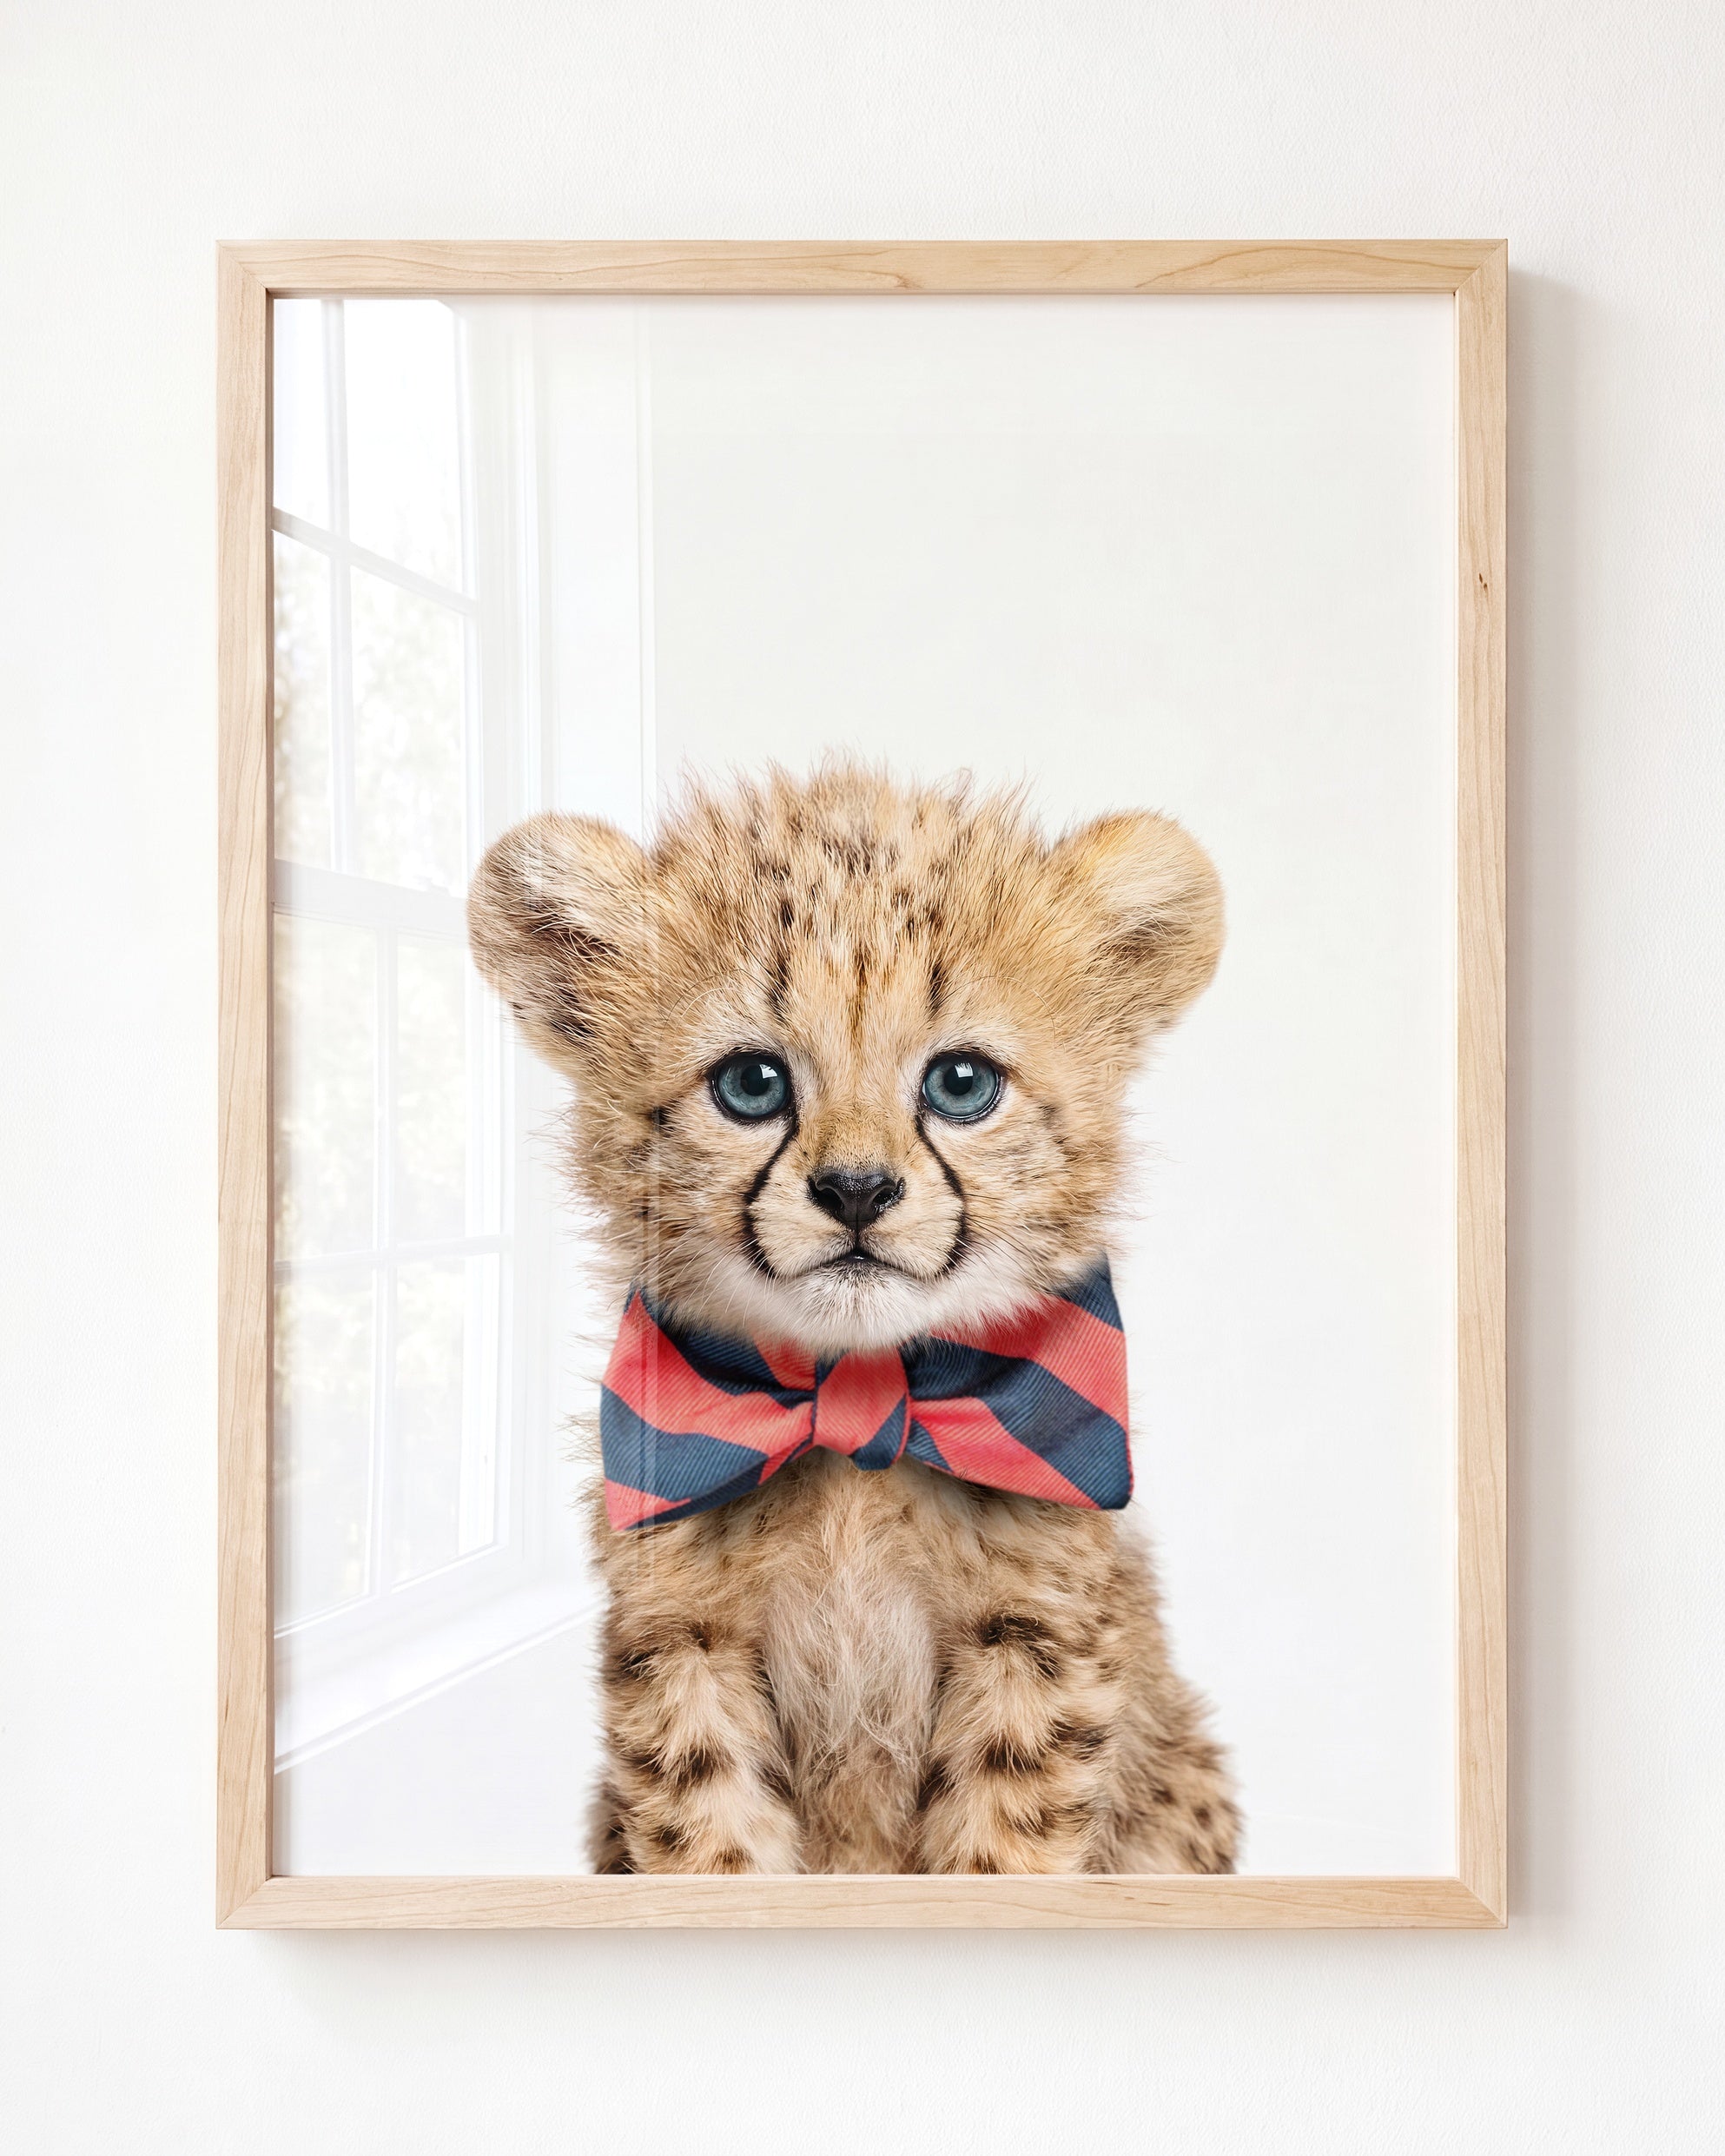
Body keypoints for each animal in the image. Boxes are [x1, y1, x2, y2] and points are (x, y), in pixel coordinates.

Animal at [468, 761, 1239, 1874]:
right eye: (751, 1083)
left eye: (961, 1082)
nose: (858, 1190)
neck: (855, 1402)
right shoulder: (682, 1638)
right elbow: (712, 1843)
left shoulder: (1036, 1640)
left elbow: (1000, 1850)